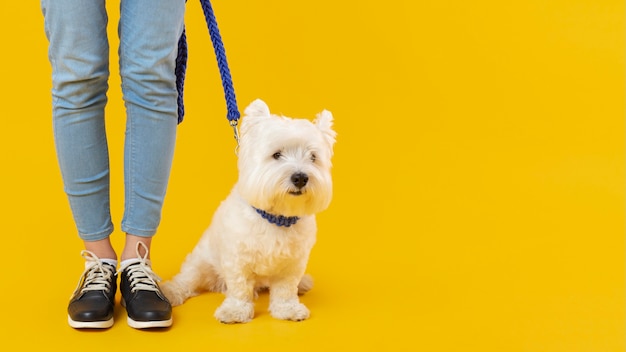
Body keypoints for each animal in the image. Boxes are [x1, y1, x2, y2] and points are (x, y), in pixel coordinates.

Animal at [162, 99, 336, 324]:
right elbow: (240, 287)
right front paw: (235, 311)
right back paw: (170, 291)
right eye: (276, 154)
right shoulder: (237, 259)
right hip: (200, 263)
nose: (300, 177)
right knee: (187, 280)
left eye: (313, 157)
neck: (276, 218)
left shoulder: (292, 263)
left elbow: (286, 289)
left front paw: (287, 309)